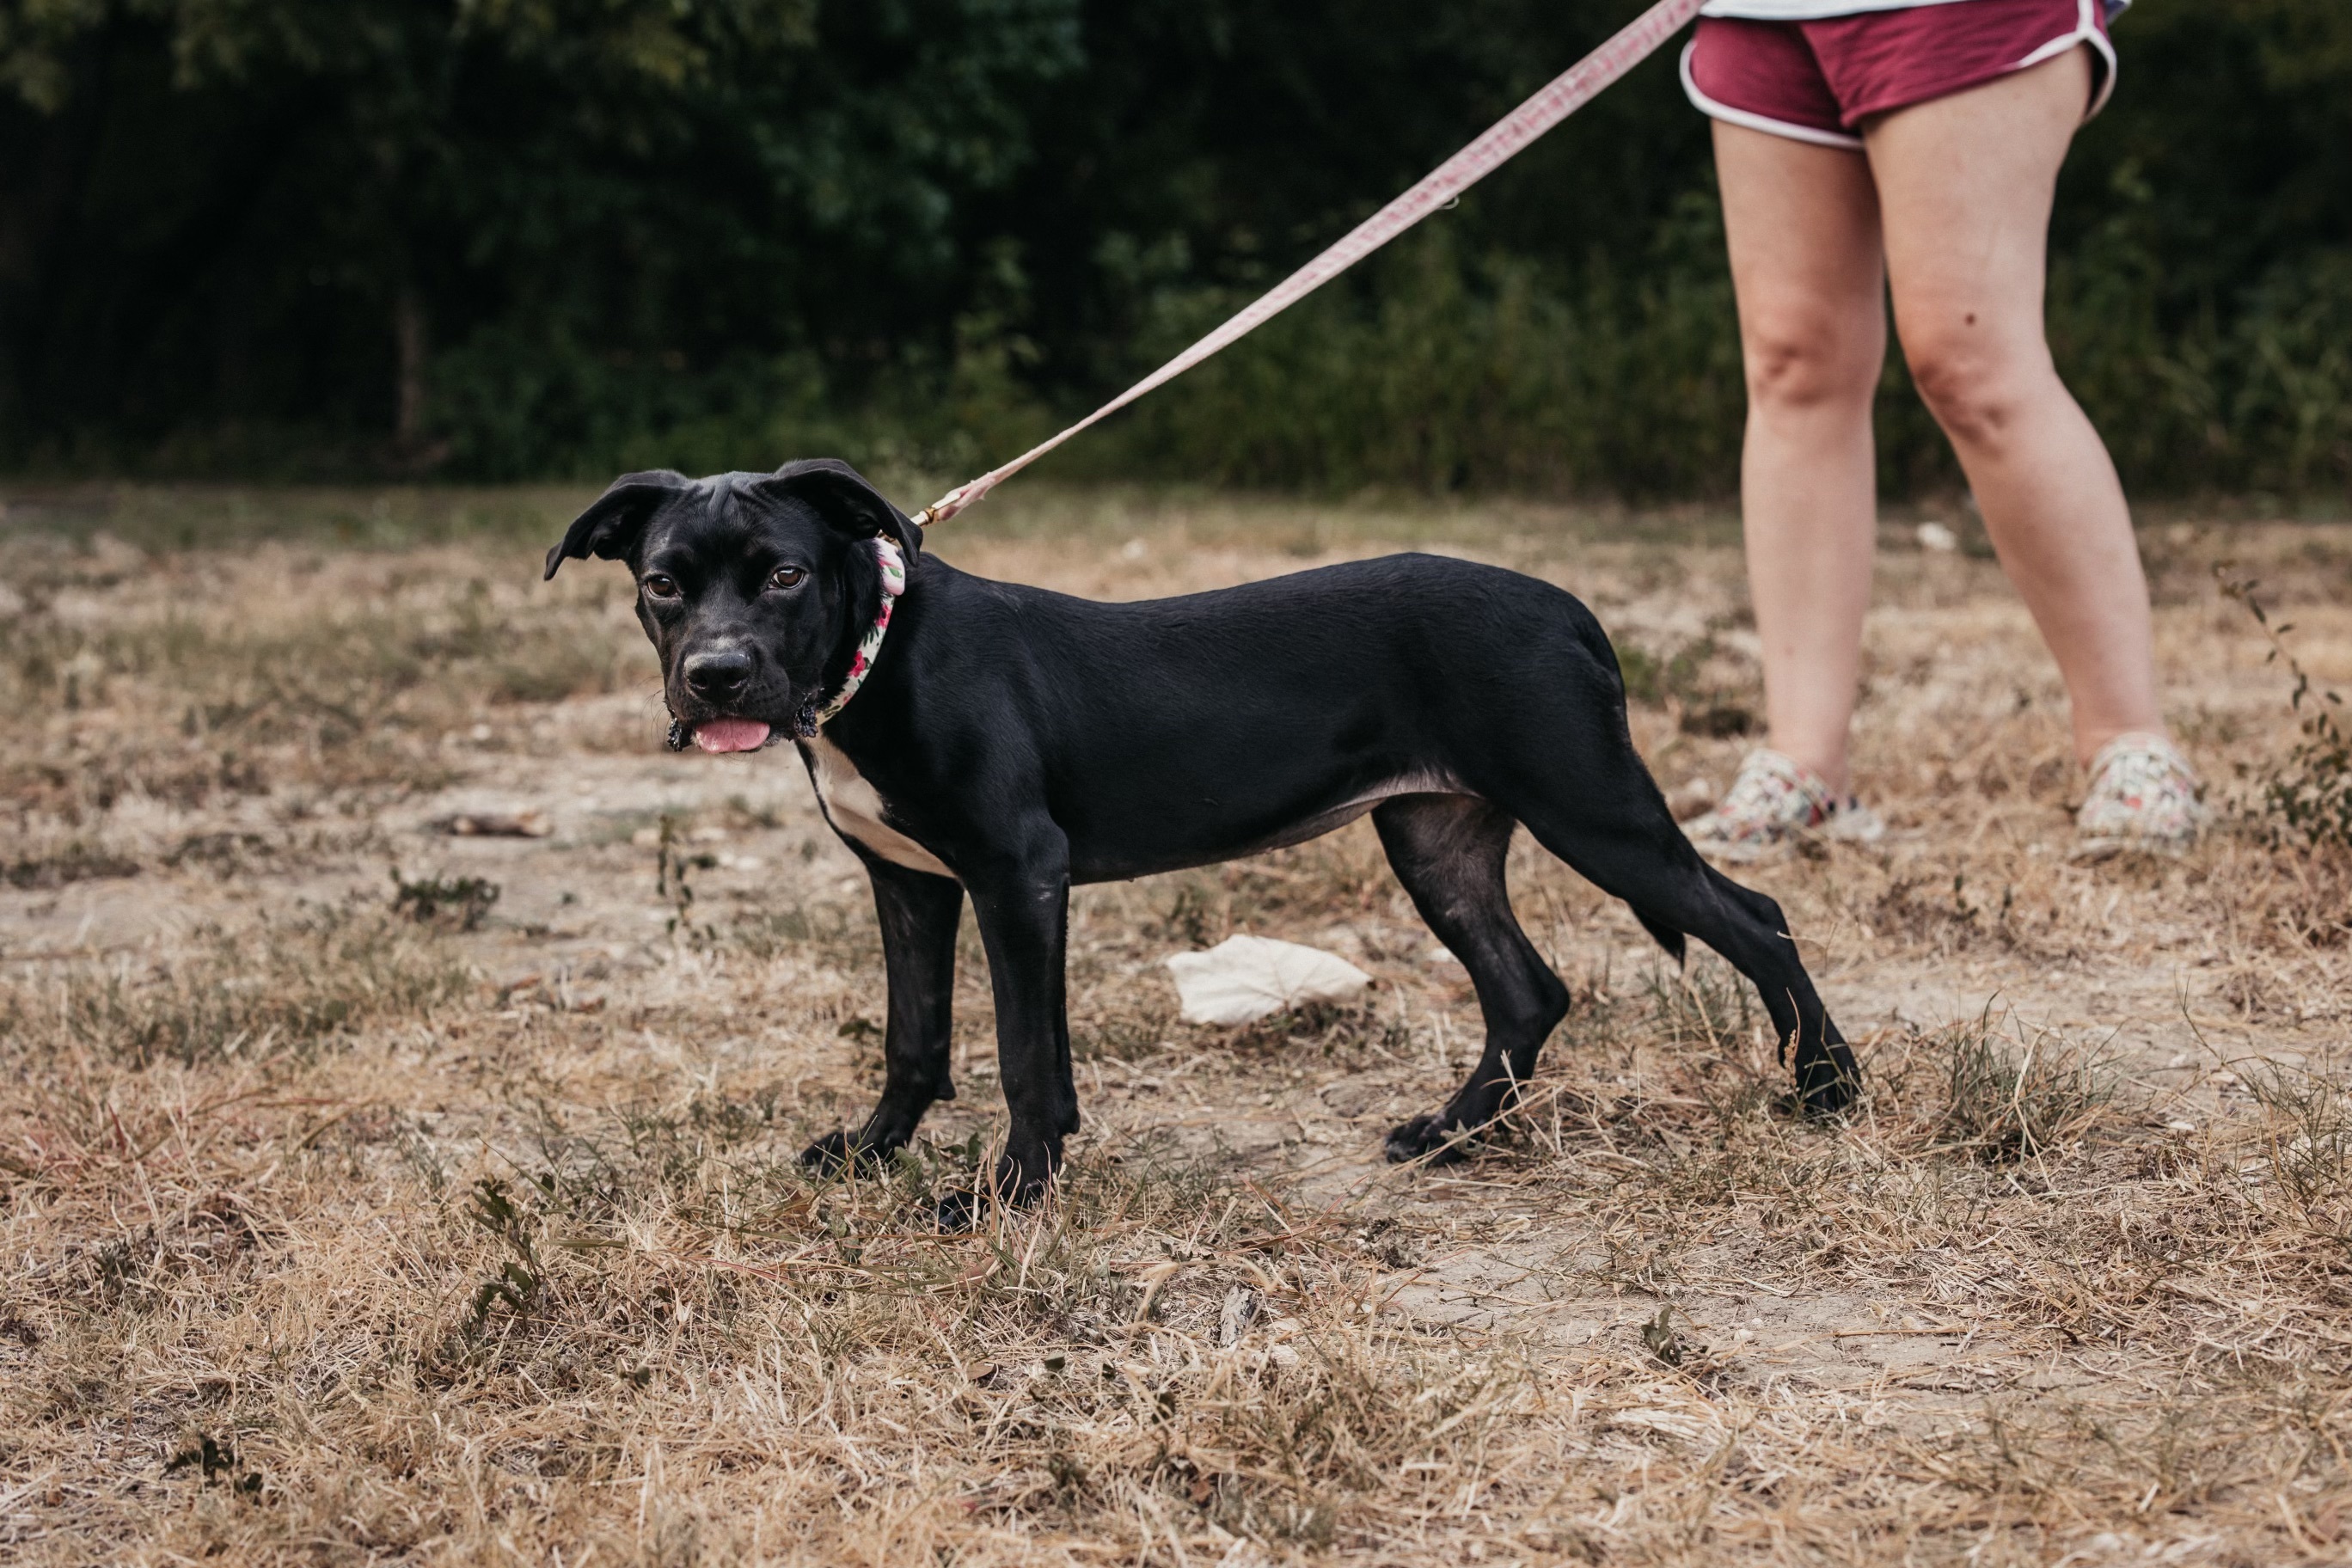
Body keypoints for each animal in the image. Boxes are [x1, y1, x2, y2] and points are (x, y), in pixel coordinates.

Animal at [545, 460, 1853, 1222]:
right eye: (664, 583)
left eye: (781, 574)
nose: (716, 679)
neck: (877, 654)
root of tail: (1571, 608)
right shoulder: (911, 884)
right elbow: (918, 1038)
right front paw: (871, 1155)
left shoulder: (1020, 875)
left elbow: (1024, 1056)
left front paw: (1005, 1196)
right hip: (1435, 837)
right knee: (1528, 987)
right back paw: (1449, 1134)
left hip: (1590, 805)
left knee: (1755, 917)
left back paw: (1826, 1089)